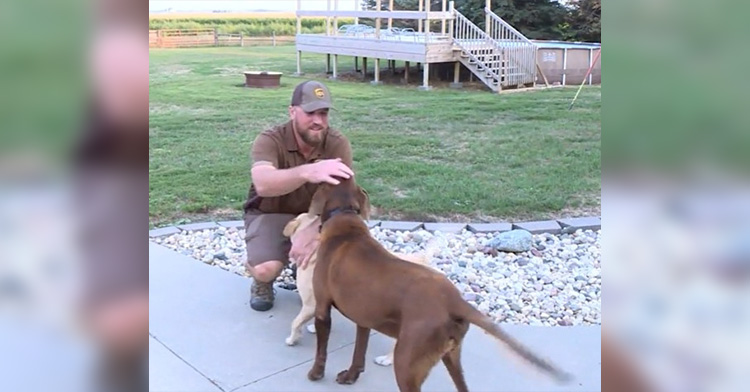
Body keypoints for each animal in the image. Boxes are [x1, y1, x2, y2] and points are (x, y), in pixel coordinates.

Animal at [308, 178, 572, 392]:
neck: (345, 217)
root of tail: (456, 301)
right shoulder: (364, 317)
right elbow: (359, 353)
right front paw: (350, 376)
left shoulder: (322, 306)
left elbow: (321, 349)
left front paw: (315, 374)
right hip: (450, 356)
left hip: (407, 362)